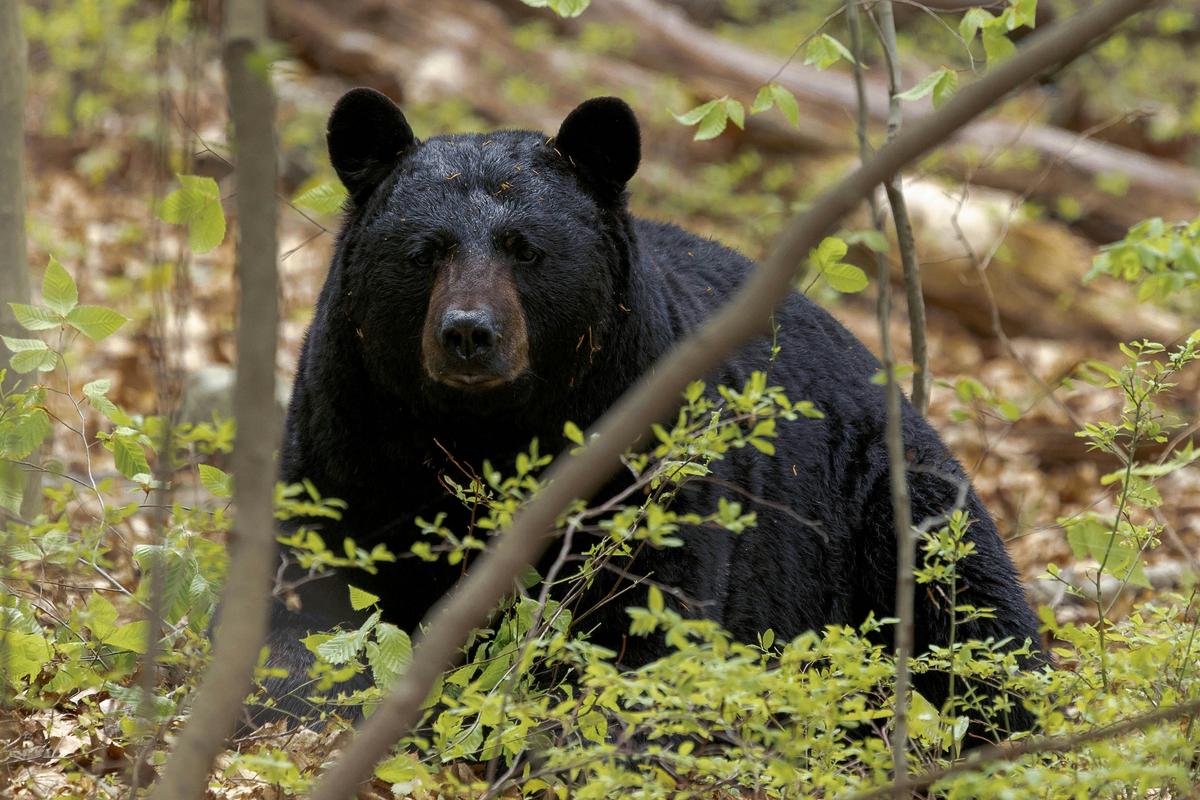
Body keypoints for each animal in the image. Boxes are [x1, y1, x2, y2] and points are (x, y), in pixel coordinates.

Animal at [256, 88, 1043, 740]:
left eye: (525, 249)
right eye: (424, 251)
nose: (469, 333)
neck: (485, 429)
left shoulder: (645, 451)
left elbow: (647, 613)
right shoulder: (350, 431)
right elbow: (309, 591)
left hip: (886, 503)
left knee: (973, 613)